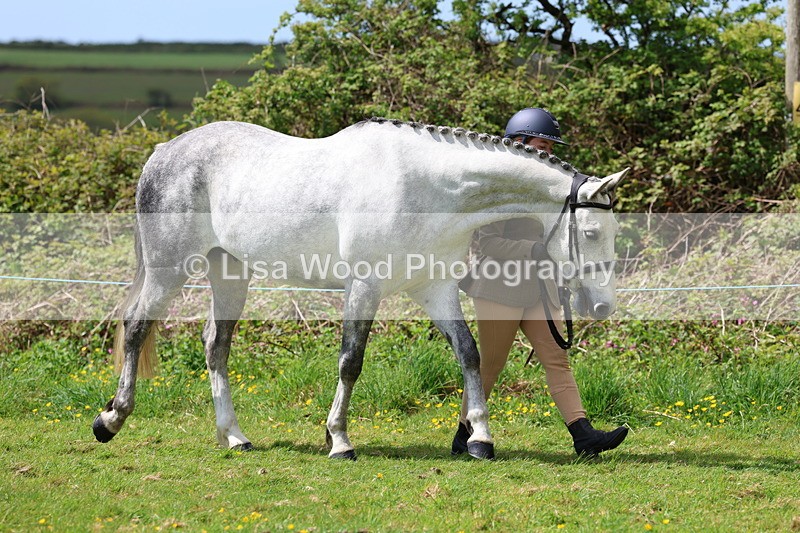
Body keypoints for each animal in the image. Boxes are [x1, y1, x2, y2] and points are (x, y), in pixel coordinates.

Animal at [92, 117, 628, 461]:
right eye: (592, 232)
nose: (602, 305)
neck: (427, 187)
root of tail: (165, 152)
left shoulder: (434, 287)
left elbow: (470, 353)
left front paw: (479, 439)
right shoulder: (364, 286)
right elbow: (351, 361)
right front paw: (339, 441)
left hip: (230, 272)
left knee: (215, 345)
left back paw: (235, 438)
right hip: (169, 268)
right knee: (137, 327)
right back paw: (111, 420)